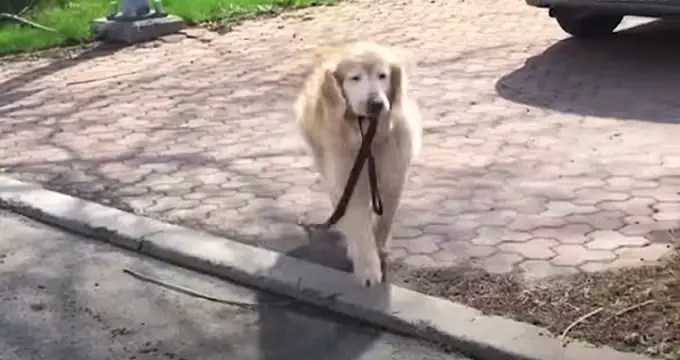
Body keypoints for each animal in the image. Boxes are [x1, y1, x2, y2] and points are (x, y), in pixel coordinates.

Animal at [294, 42, 422, 288]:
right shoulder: (348, 175)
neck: (367, 133)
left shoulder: (393, 176)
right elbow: (359, 224)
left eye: (382, 75)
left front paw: (379, 249)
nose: (376, 104)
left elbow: (385, 219)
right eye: (354, 78)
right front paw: (368, 269)